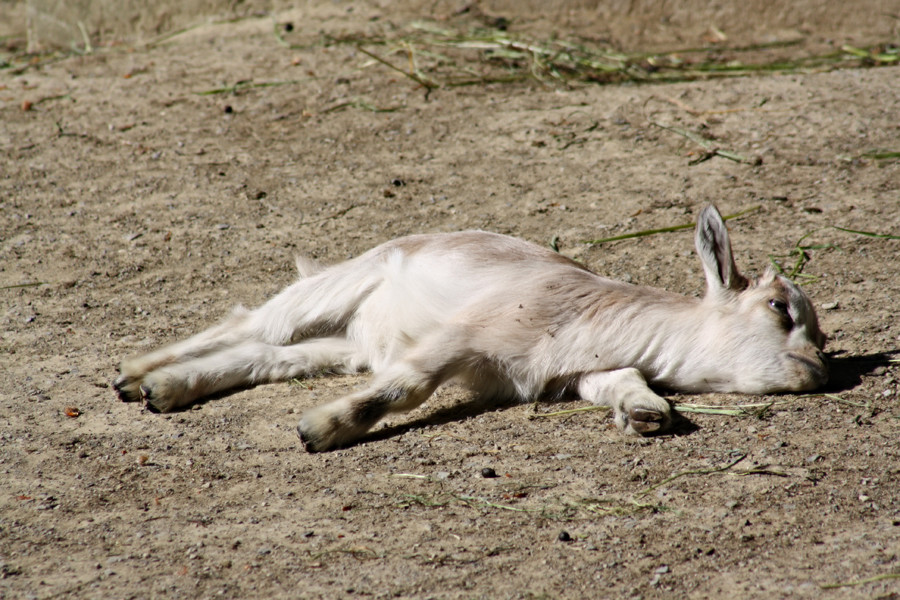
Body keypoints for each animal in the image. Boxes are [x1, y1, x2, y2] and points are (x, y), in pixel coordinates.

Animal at [116, 205, 828, 450]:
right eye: (782, 309)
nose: (820, 369)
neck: (586, 314)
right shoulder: (463, 336)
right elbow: (405, 388)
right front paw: (321, 428)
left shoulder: (575, 373)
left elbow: (621, 381)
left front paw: (647, 413)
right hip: (341, 282)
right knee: (254, 320)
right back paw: (132, 375)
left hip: (346, 344)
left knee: (268, 354)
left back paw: (163, 389)